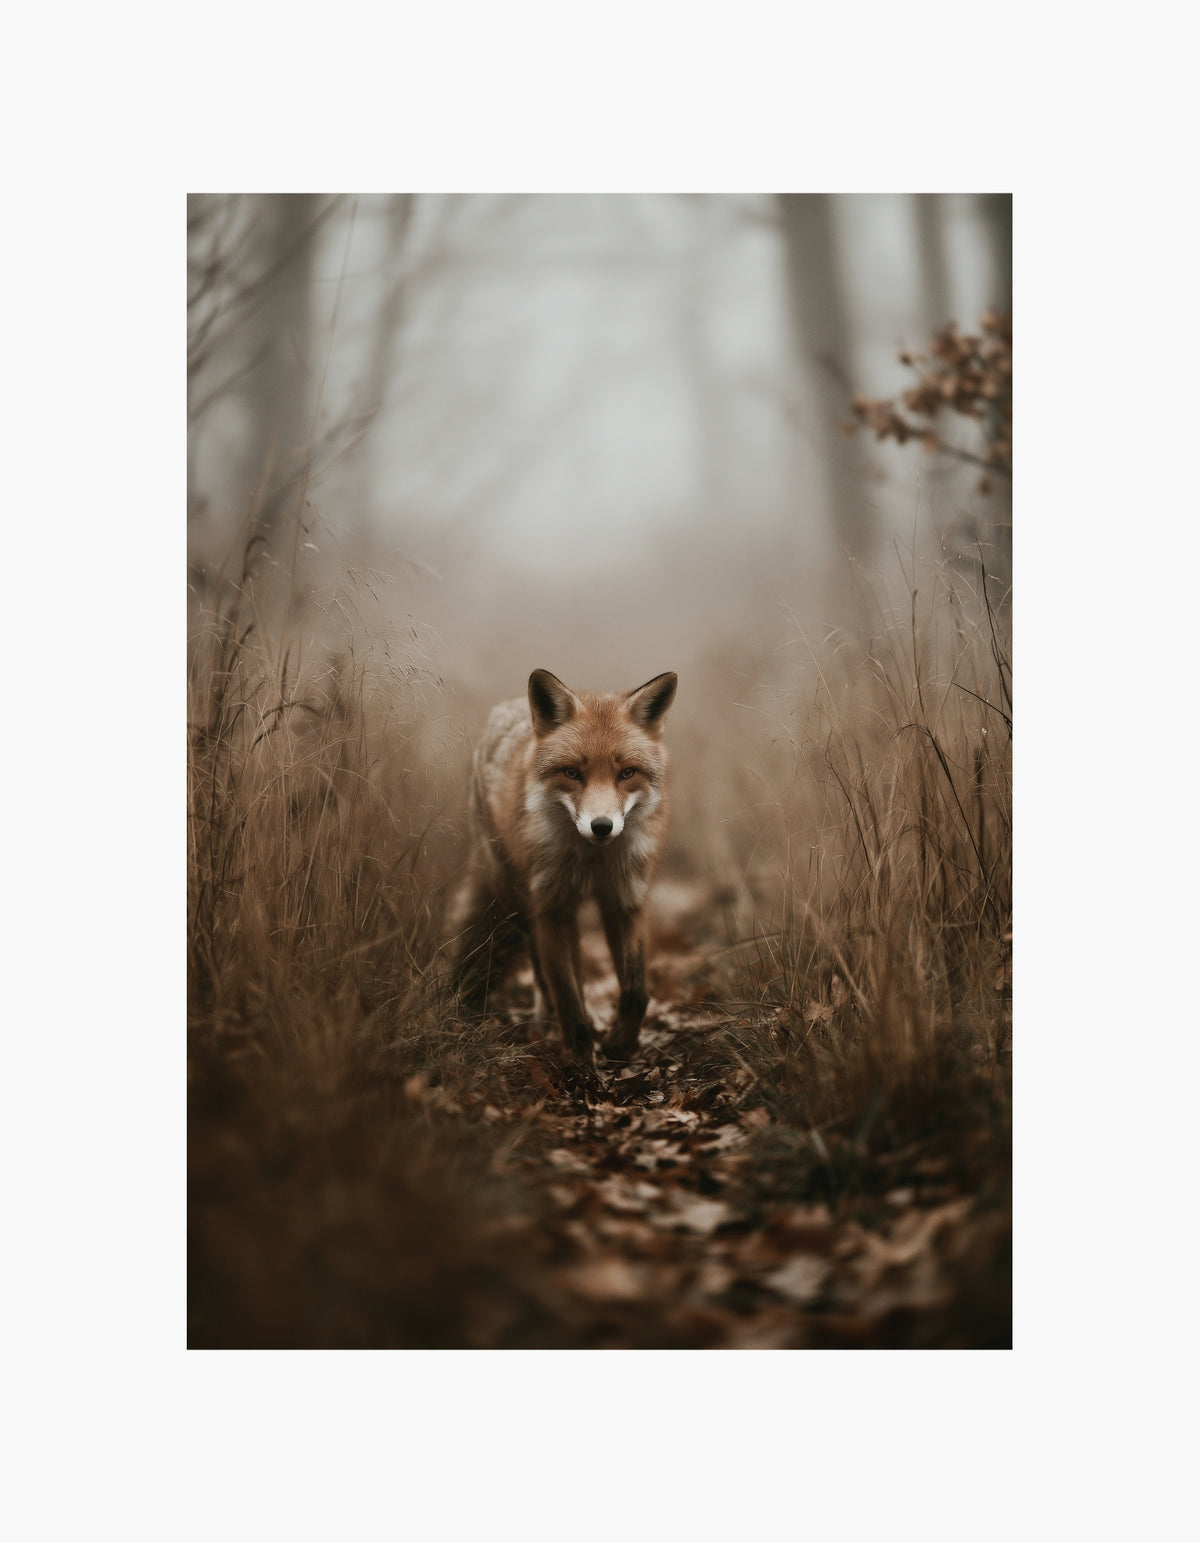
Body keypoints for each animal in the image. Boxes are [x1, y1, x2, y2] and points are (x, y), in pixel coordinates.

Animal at [447, 667, 678, 1070]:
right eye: (572, 773)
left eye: (627, 773)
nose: (601, 826)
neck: (592, 862)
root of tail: (506, 708)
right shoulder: (551, 907)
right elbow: (566, 994)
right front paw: (580, 1062)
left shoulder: (625, 900)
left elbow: (636, 990)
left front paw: (620, 1044)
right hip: (517, 899)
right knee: (543, 973)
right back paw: (549, 1024)